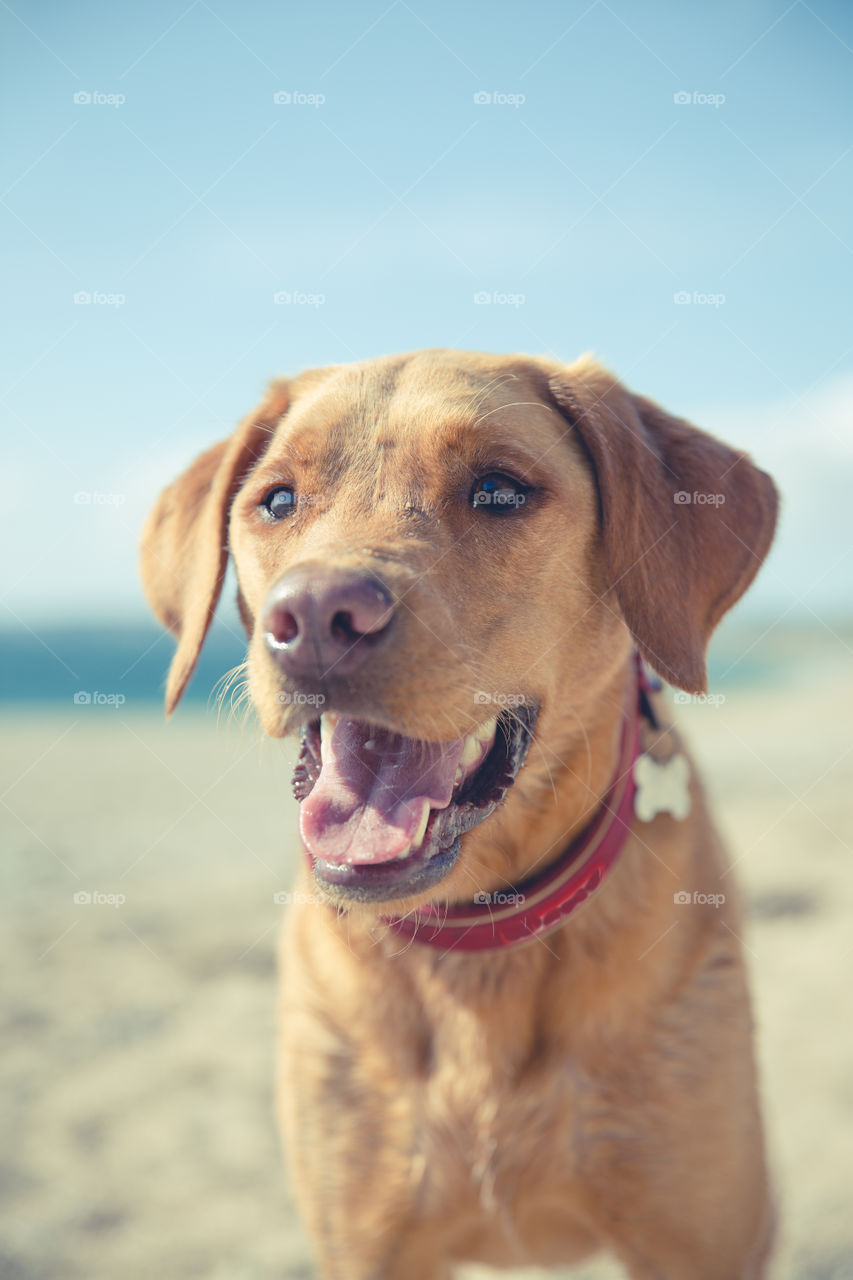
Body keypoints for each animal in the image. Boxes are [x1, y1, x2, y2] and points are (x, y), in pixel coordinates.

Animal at [140, 345, 778, 1274]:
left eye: (499, 490)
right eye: (278, 500)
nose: (316, 617)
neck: (478, 940)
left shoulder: (701, 1239)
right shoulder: (365, 1244)